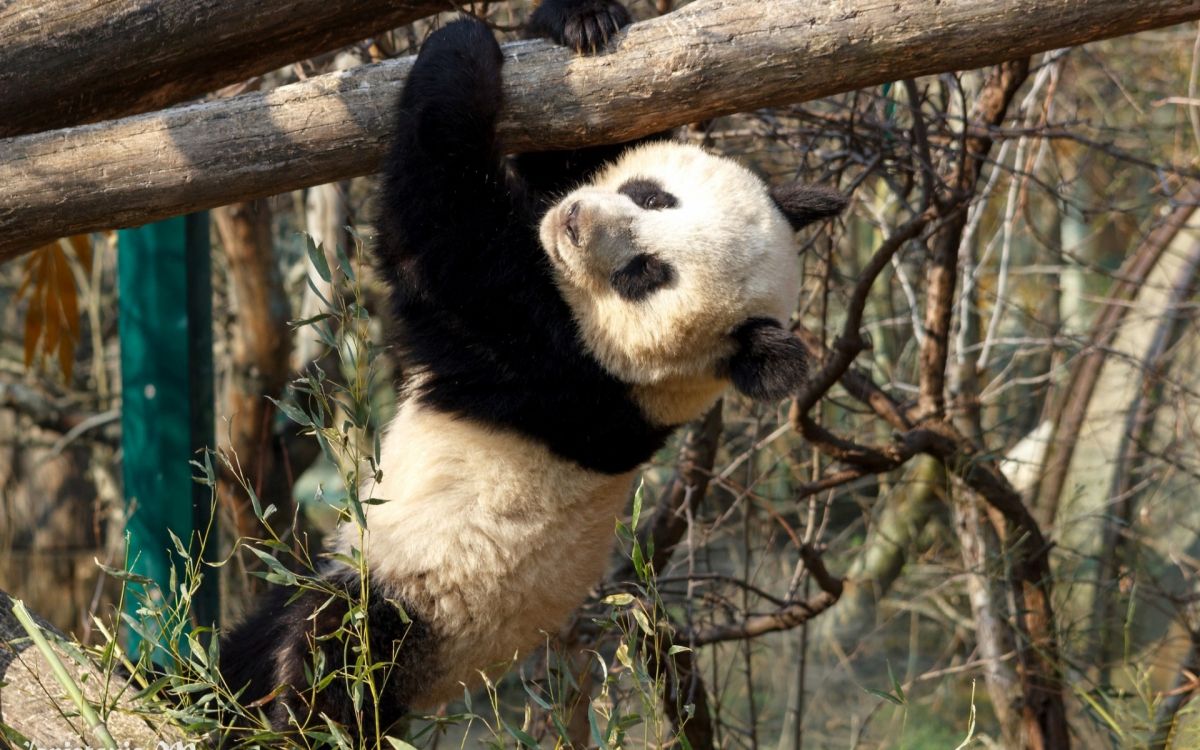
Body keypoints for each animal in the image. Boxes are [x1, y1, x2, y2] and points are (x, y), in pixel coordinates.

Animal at [220, 0, 849, 739]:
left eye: (646, 274)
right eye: (652, 196)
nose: (575, 220)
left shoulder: (560, 368)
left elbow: (441, 238)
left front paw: (462, 47)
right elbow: (572, 150)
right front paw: (581, 22)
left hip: (420, 613)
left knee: (338, 651)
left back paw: (292, 711)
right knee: (252, 644)